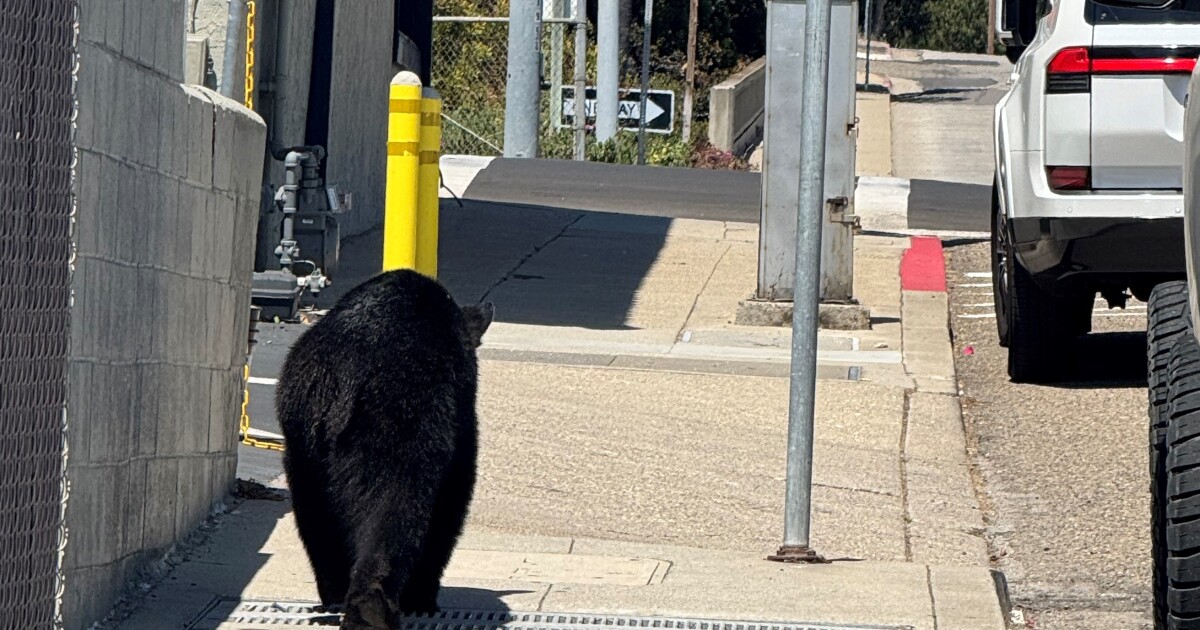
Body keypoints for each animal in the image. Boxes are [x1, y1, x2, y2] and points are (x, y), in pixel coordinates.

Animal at [274, 269, 494, 630]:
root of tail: (344, 377)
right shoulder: (458, 419)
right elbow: (452, 497)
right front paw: (422, 599)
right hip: (397, 423)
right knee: (395, 506)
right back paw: (373, 608)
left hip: (303, 432)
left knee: (314, 513)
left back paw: (335, 596)